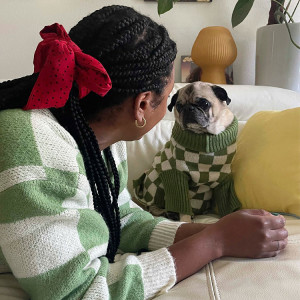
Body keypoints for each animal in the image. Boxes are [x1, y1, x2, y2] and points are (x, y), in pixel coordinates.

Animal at [133, 81, 237, 221]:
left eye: (204, 103)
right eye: (179, 106)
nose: (188, 108)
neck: (203, 136)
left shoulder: (223, 178)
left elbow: (226, 201)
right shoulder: (177, 176)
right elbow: (182, 205)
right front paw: (184, 221)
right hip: (154, 181)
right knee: (152, 206)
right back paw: (168, 212)